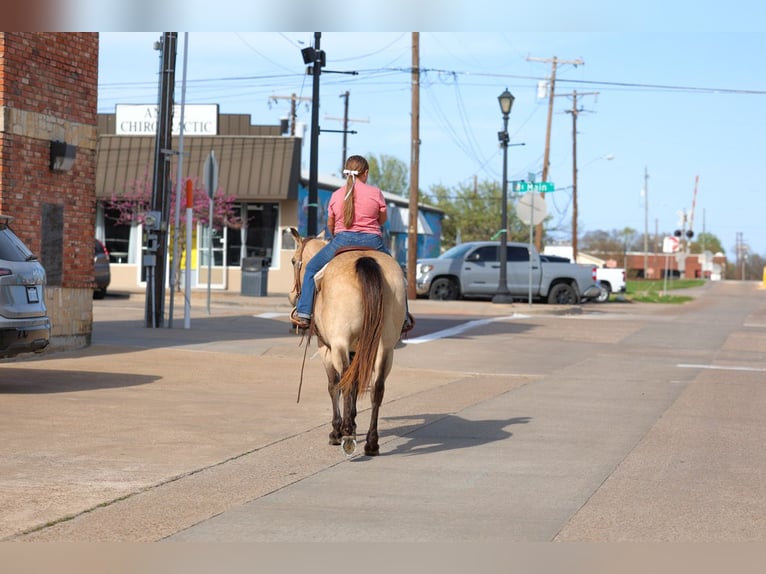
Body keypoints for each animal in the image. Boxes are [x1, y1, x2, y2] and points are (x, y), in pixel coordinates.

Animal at [288, 227, 407, 456]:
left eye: (293, 261)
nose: (291, 296)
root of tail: (366, 260)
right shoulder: (357, 349)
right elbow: (357, 381)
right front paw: (351, 421)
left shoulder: (327, 348)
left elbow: (334, 385)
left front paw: (338, 430)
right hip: (386, 346)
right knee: (377, 387)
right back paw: (371, 442)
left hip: (340, 344)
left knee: (346, 383)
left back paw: (347, 436)